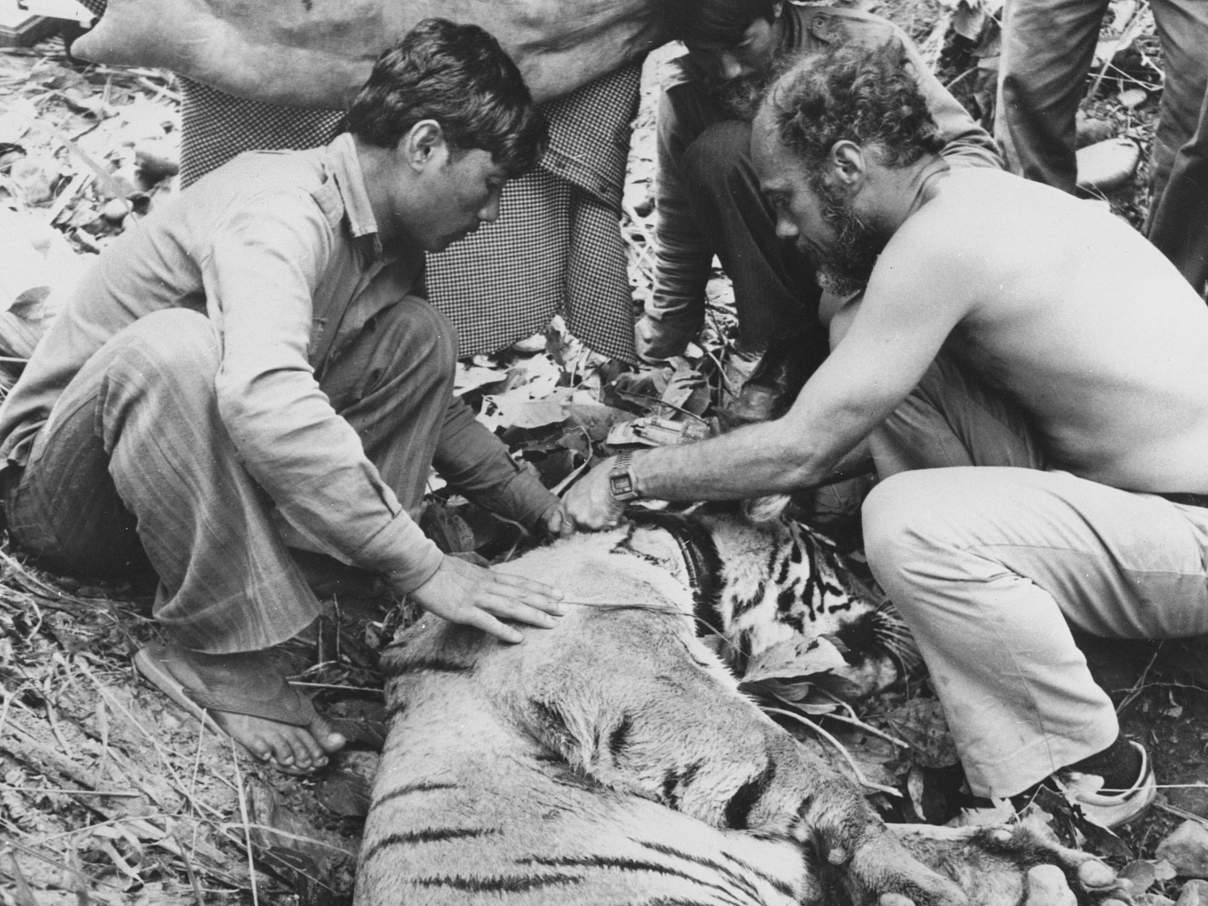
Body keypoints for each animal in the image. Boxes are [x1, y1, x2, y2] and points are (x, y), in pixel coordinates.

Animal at [352, 512, 1125, 906]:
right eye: (838, 565)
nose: (891, 607)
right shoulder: (632, 669)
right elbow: (799, 764)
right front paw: (900, 869)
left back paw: (1054, 866)